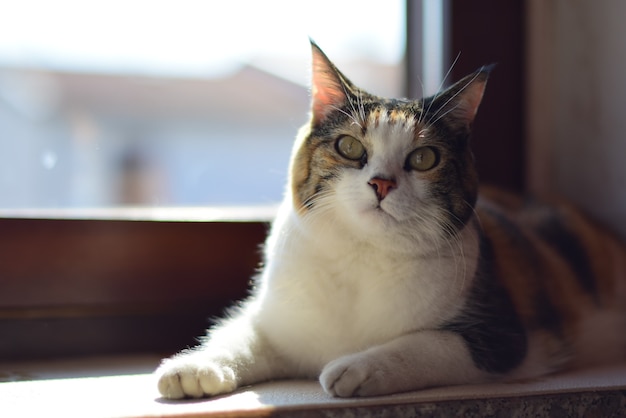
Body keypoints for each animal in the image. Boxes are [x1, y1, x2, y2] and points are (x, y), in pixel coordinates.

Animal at [152, 39, 624, 398]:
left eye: (425, 157)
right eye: (348, 147)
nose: (381, 183)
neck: (363, 255)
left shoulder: (501, 336)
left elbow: (426, 344)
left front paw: (356, 368)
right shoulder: (280, 324)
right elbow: (240, 335)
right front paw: (194, 368)